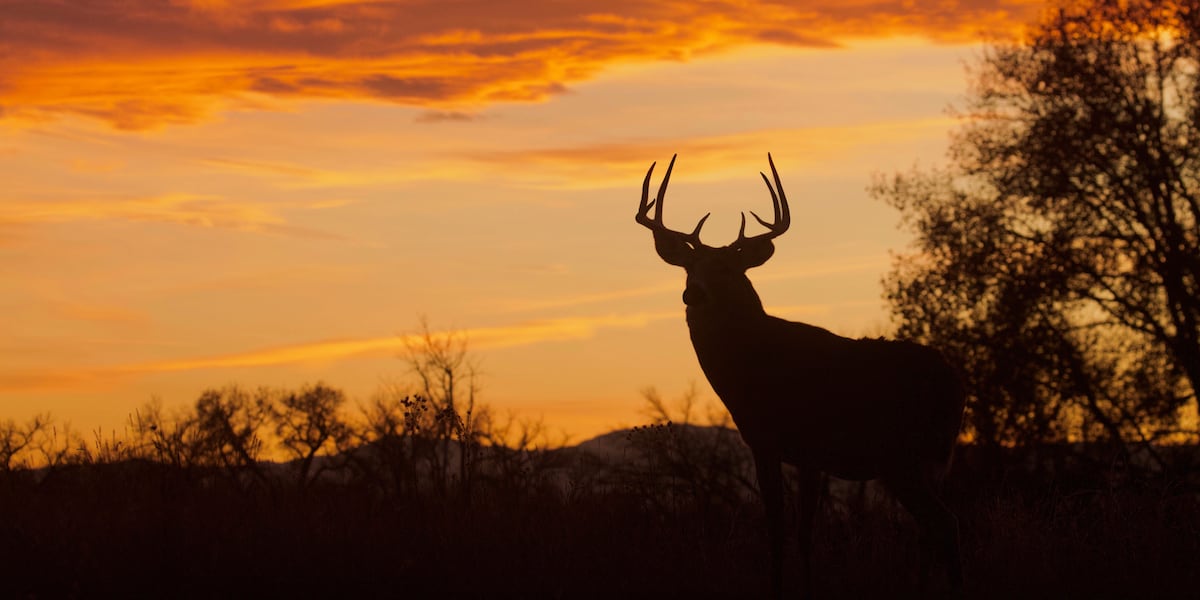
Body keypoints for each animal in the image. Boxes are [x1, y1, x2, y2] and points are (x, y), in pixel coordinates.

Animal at [634, 154, 965, 598]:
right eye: (689, 267)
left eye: (729, 268)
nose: (694, 294)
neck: (749, 364)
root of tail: (952, 384)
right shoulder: (811, 457)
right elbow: (806, 533)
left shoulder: (769, 440)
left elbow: (779, 529)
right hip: (930, 459)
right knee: (927, 529)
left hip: (902, 454)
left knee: (945, 523)